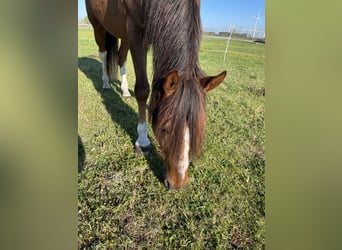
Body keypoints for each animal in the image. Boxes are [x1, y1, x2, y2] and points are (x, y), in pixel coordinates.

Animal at [85, 0, 226, 189]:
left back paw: (124, 91)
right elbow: (142, 90)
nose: (177, 184)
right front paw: (143, 141)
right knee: (103, 54)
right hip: (99, 27)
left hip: (124, 34)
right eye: (165, 129)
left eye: (198, 129)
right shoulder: (136, 32)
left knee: (121, 57)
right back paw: (106, 83)